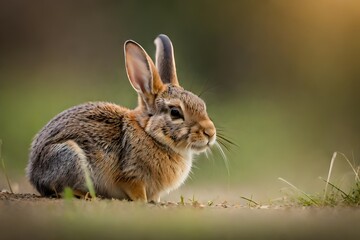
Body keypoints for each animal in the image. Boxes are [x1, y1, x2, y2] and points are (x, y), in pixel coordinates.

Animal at [26, 34, 217, 202]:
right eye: (175, 112)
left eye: (202, 104)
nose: (210, 132)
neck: (149, 133)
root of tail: (33, 173)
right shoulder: (130, 176)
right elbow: (136, 190)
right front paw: (143, 201)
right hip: (69, 157)